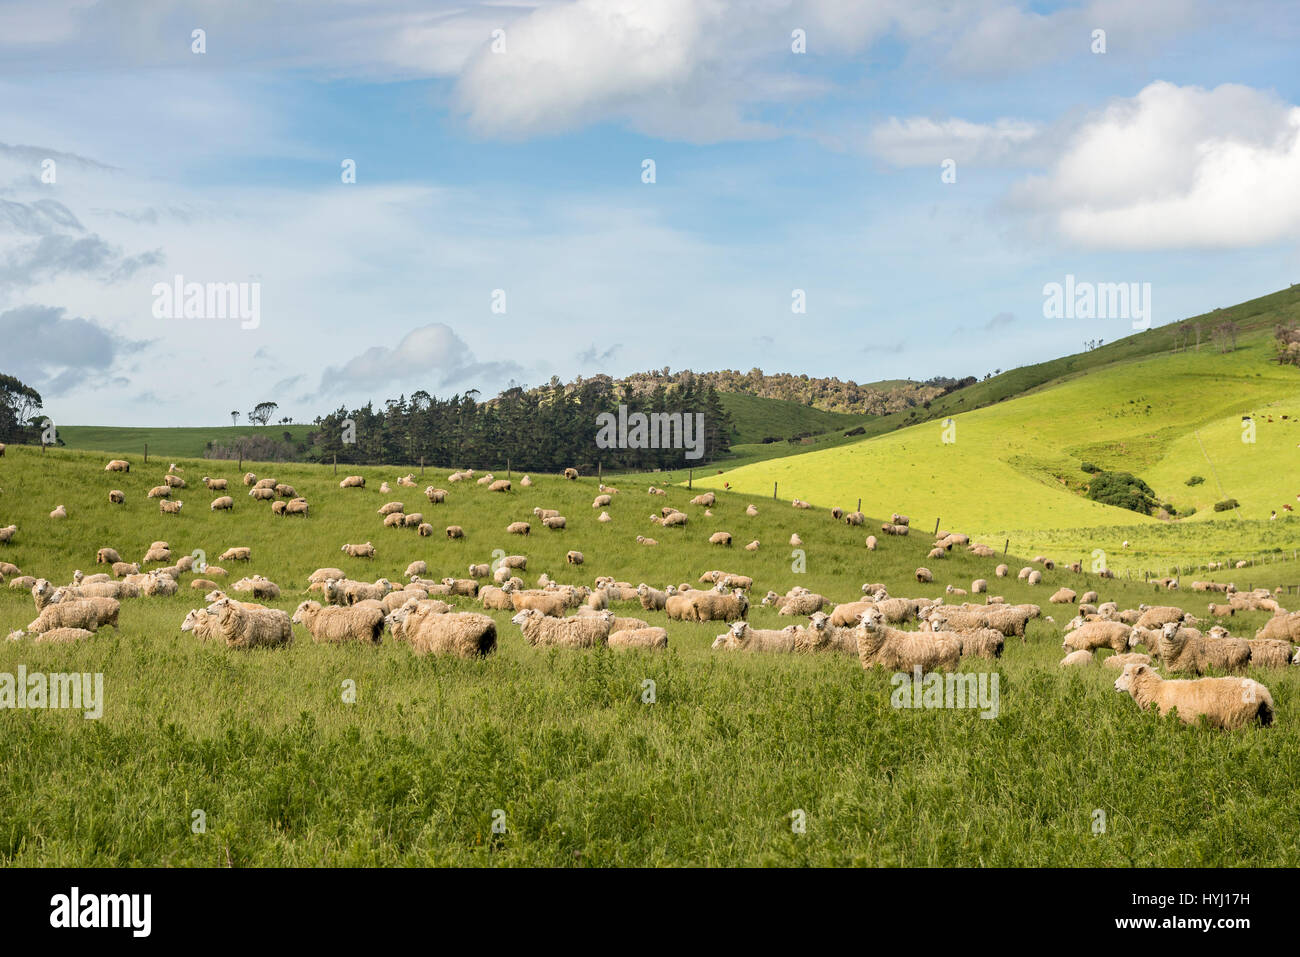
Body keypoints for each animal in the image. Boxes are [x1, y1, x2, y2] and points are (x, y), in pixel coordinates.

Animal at [1112, 660, 1274, 728]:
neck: (1156, 691)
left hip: (1240, 720)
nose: (1114, 685)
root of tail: (1263, 692)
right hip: (1262, 719)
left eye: (1126, 674)